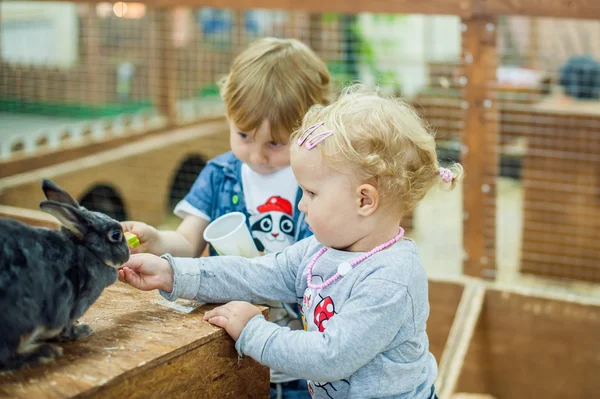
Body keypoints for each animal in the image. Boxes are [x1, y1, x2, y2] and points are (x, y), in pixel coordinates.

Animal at [0, 179, 131, 372]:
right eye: (116, 235)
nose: (127, 255)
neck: (89, 252)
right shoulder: (73, 306)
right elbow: (67, 329)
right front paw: (82, 330)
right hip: (22, 319)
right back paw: (45, 352)